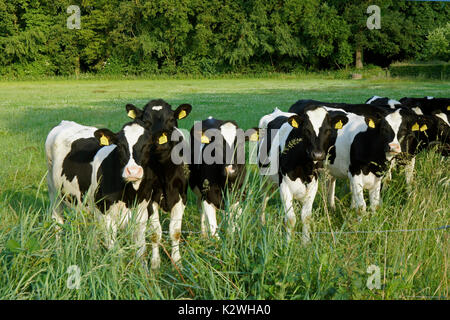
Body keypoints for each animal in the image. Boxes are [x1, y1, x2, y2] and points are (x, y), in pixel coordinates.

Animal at [45, 119, 153, 262]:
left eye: (148, 145)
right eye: (120, 146)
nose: (133, 171)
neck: (129, 195)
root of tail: (64, 122)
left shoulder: (141, 216)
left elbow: (141, 253)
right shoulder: (106, 218)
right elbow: (116, 253)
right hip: (54, 192)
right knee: (57, 221)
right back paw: (59, 252)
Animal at [125, 99, 192, 268]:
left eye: (171, 119)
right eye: (145, 121)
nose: (159, 141)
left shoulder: (181, 196)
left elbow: (175, 231)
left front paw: (177, 261)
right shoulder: (150, 198)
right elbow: (155, 233)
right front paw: (155, 263)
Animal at [256, 105, 348, 242]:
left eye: (328, 130)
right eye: (306, 130)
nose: (317, 155)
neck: (304, 166)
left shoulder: (313, 185)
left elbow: (306, 217)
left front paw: (305, 242)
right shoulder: (284, 186)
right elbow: (290, 219)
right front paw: (289, 243)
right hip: (264, 178)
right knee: (264, 199)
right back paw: (262, 223)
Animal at [290, 99, 424, 211]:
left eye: (406, 131)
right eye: (384, 129)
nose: (394, 147)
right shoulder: (355, 172)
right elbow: (362, 204)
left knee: (330, 182)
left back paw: (331, 207)